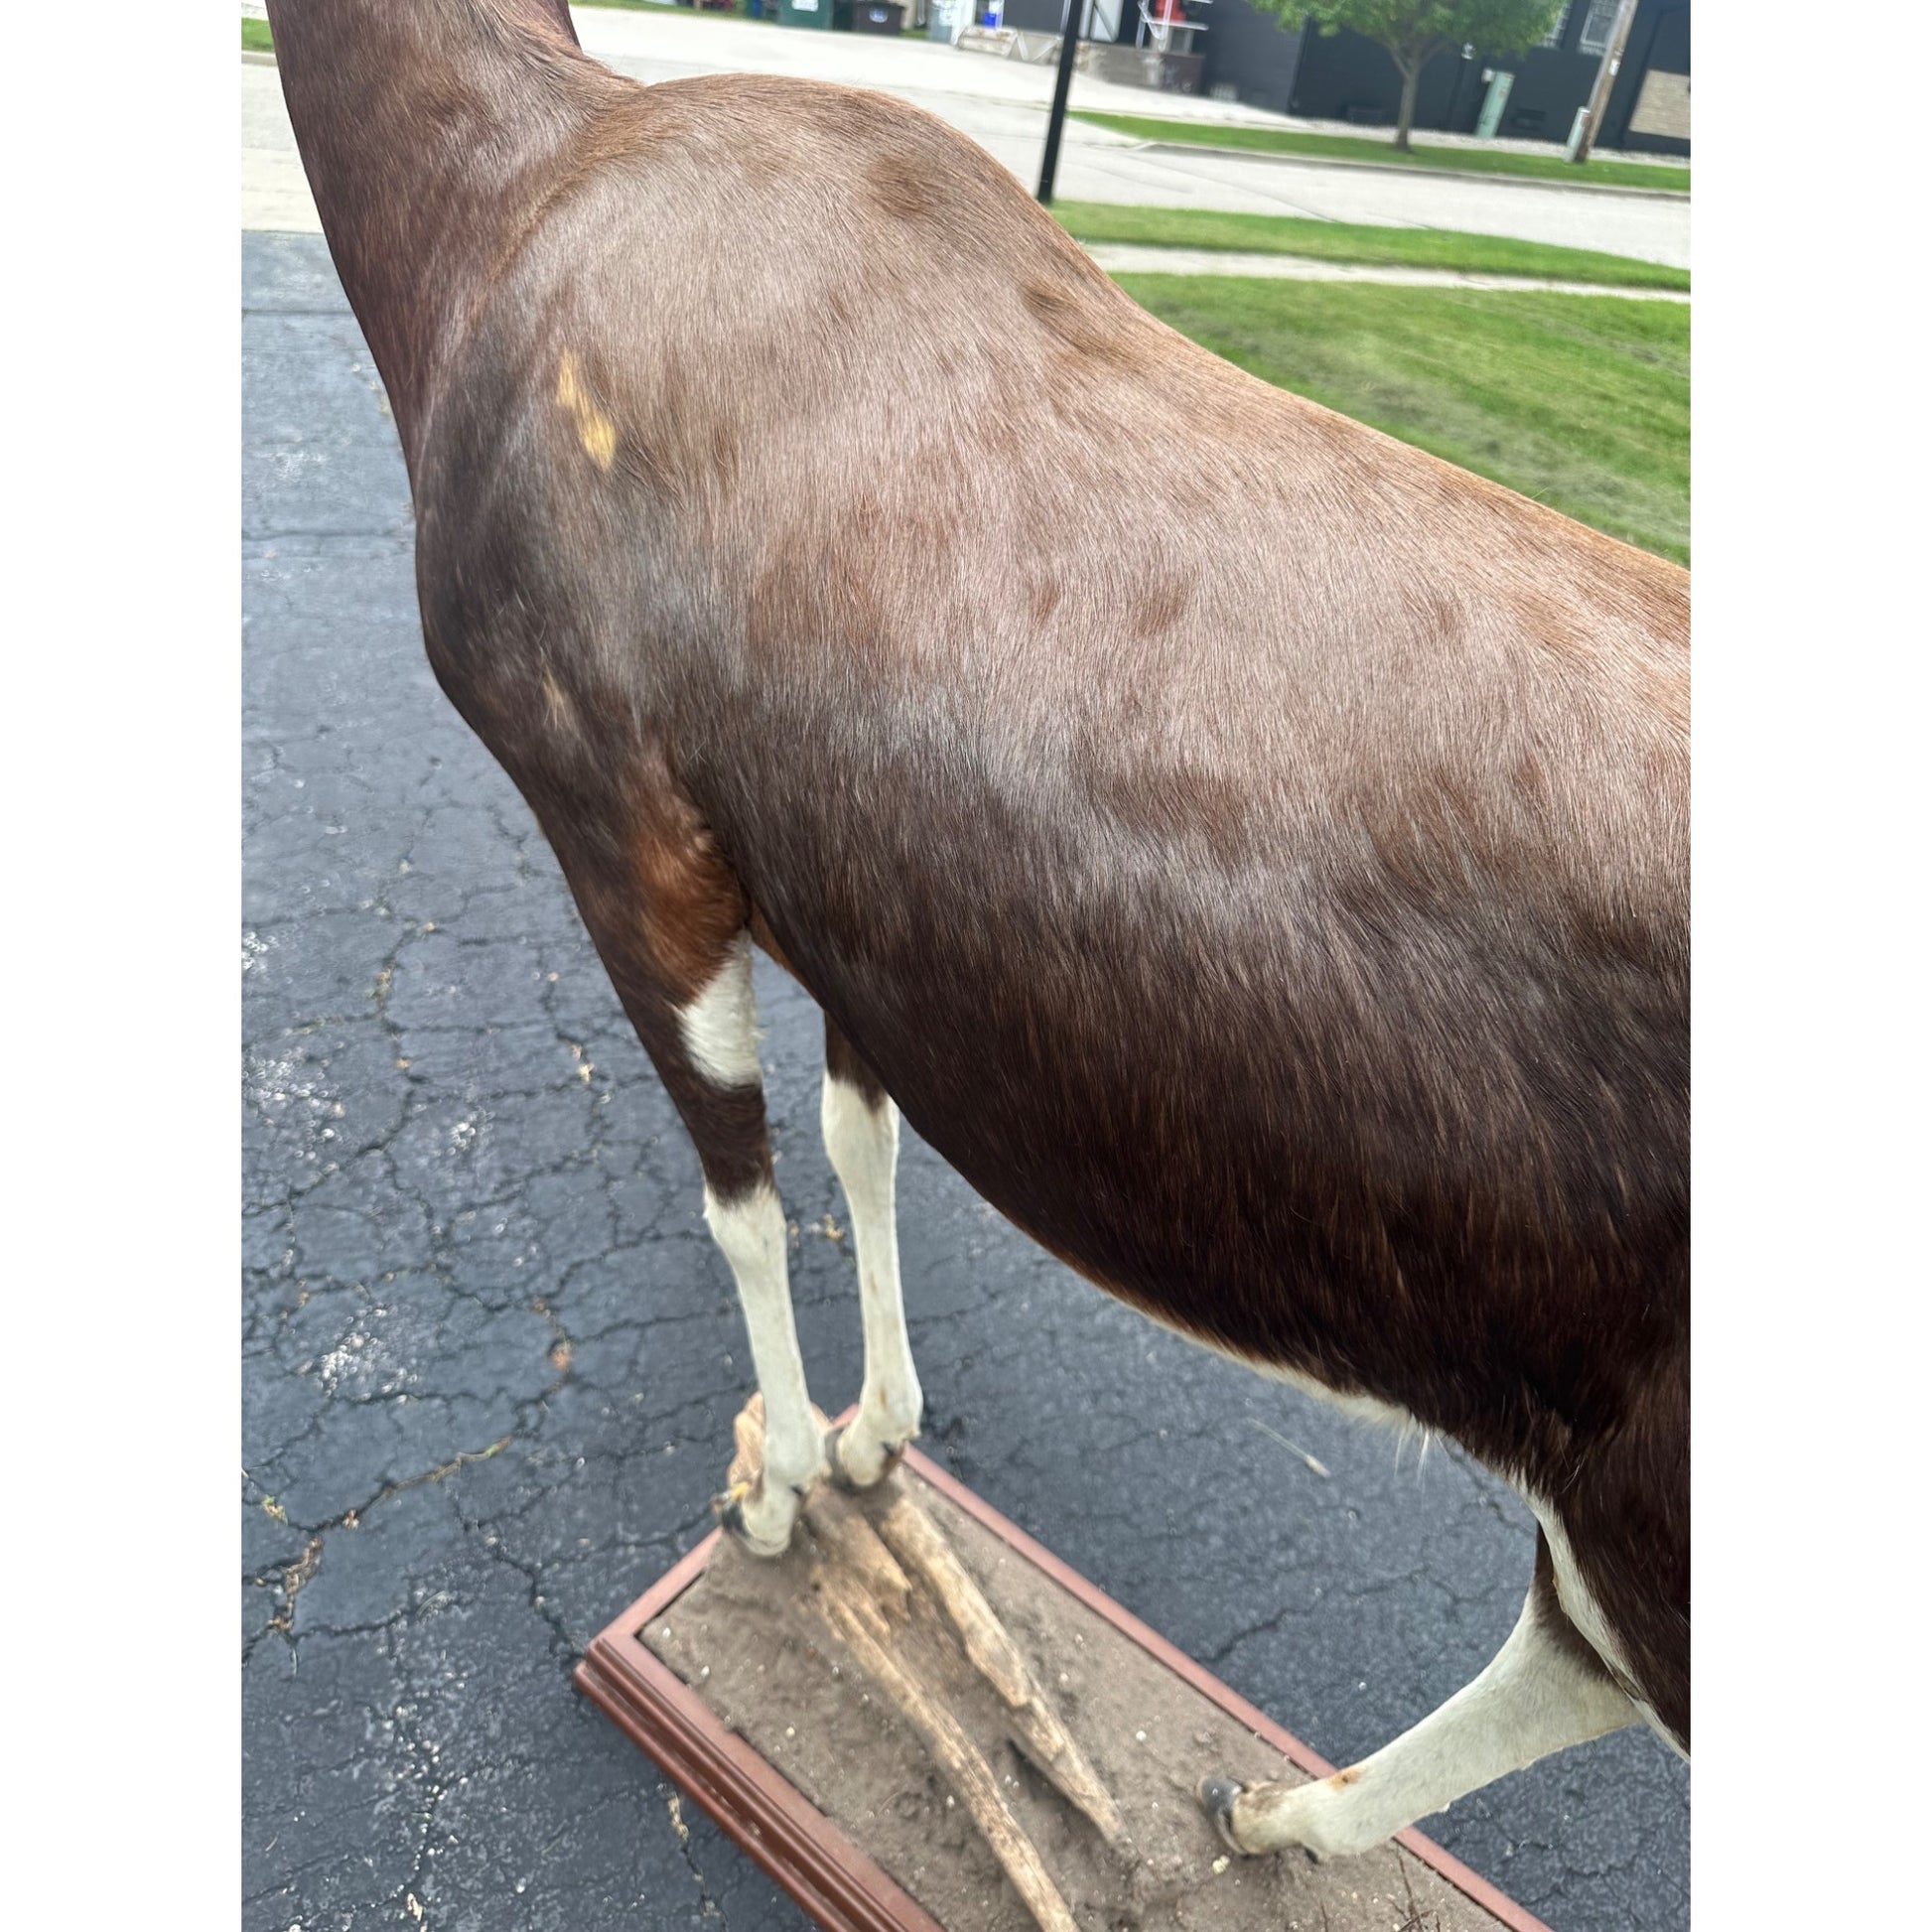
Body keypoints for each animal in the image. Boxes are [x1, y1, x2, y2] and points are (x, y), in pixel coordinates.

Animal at [267, 0, 1689, 1864]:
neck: (516, 193)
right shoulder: (845, 909)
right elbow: (860, 1139)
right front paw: (879, 1436)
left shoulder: (622, 833)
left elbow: (737, 1191)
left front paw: (783, 1487)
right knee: (1569, 1651)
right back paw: (1278, 1815)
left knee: (1581, 1645)